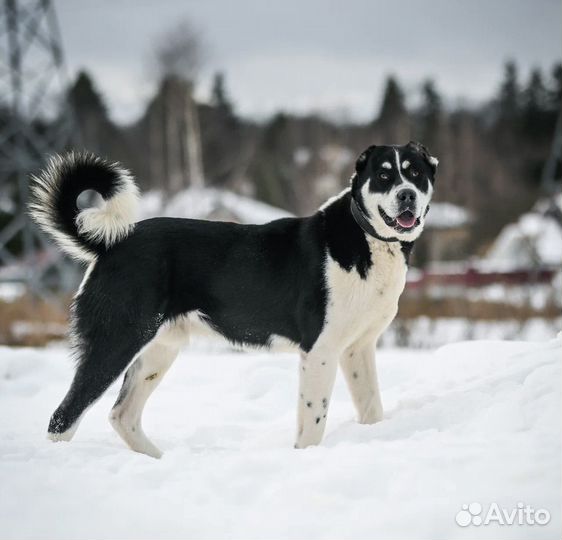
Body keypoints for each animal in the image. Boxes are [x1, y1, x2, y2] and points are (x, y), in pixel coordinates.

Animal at [28, 141, 436, 458]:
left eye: (415, 173)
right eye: (383, 175)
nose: (407, 196)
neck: (369, 241)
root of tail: (111, 244)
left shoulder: (358, 349)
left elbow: (372, 408)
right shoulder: (320, 352)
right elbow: (313, 424)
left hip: (157, 351)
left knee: (122, 415)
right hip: (114, 343)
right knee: (63, 416)